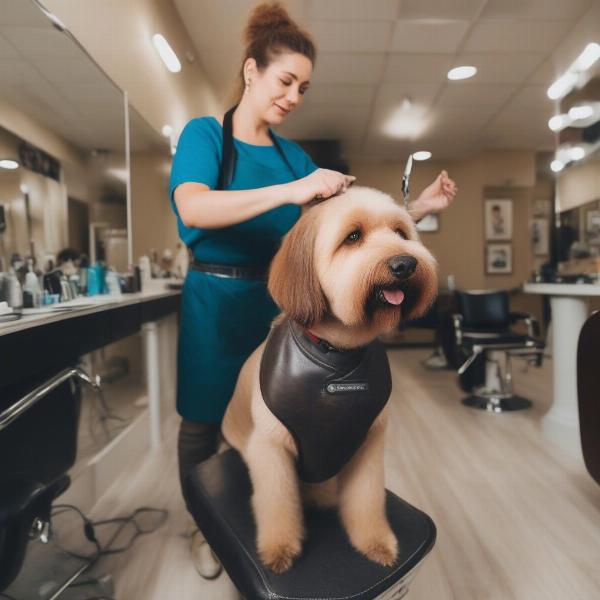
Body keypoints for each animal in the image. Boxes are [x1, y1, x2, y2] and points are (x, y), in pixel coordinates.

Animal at [220, 185, 436, 576]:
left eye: (401, 233)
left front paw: (375, 542)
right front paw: (279, 548)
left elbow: (367, 500)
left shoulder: (368, 444)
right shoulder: (270, 449)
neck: (337, 355)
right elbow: (277, 503)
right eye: (353, 237)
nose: (405, 264)